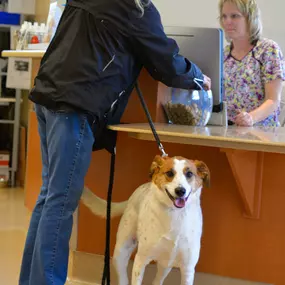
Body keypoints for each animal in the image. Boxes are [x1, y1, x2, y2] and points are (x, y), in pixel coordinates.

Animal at [81, 155, 210, 284]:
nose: (180, 191)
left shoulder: (187, 269)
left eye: (189, 174)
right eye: (169, 173)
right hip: (120, 252)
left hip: (166, 264)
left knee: (158, 280)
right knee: (123, 277)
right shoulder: (140, 261)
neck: (175, 214)